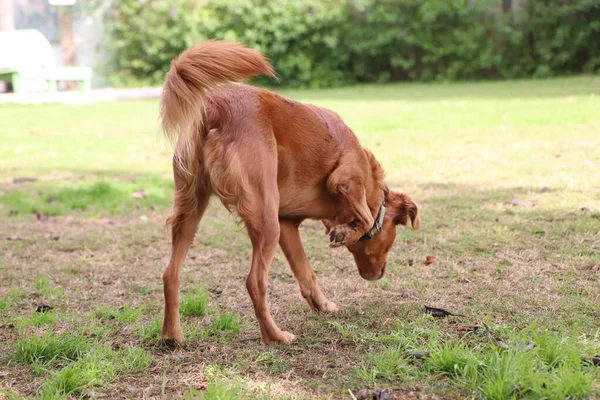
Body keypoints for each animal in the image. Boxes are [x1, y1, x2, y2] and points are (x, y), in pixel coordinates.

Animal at [162, 41, 420, 346]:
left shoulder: (287, 224)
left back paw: (171, 336)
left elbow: (306, 273)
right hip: (265, 218)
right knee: (254, 281)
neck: (369, 185)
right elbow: (366, 220)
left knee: (170, 274)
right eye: (390, 245)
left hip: (191, 210)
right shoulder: (342, 181)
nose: (379, 276)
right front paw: (346, 233)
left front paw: (323, 304)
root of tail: (214, 106)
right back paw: (275, 336)